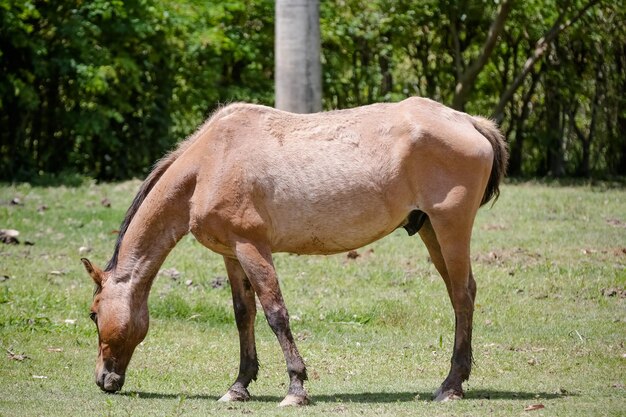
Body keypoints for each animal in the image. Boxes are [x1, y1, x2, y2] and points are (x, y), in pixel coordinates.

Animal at [80, 96, 508, 404]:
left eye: (93, 314)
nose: (103, 379)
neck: (210, 162)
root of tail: (469, 122)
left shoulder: (253, 247)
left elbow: (275, 314)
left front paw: (296, 388)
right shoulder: (232, 254)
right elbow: (244, 315)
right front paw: (239, 386)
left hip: (450, 228)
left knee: (462, 295)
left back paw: (451, 386)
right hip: (431, 230)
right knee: (459, 295)